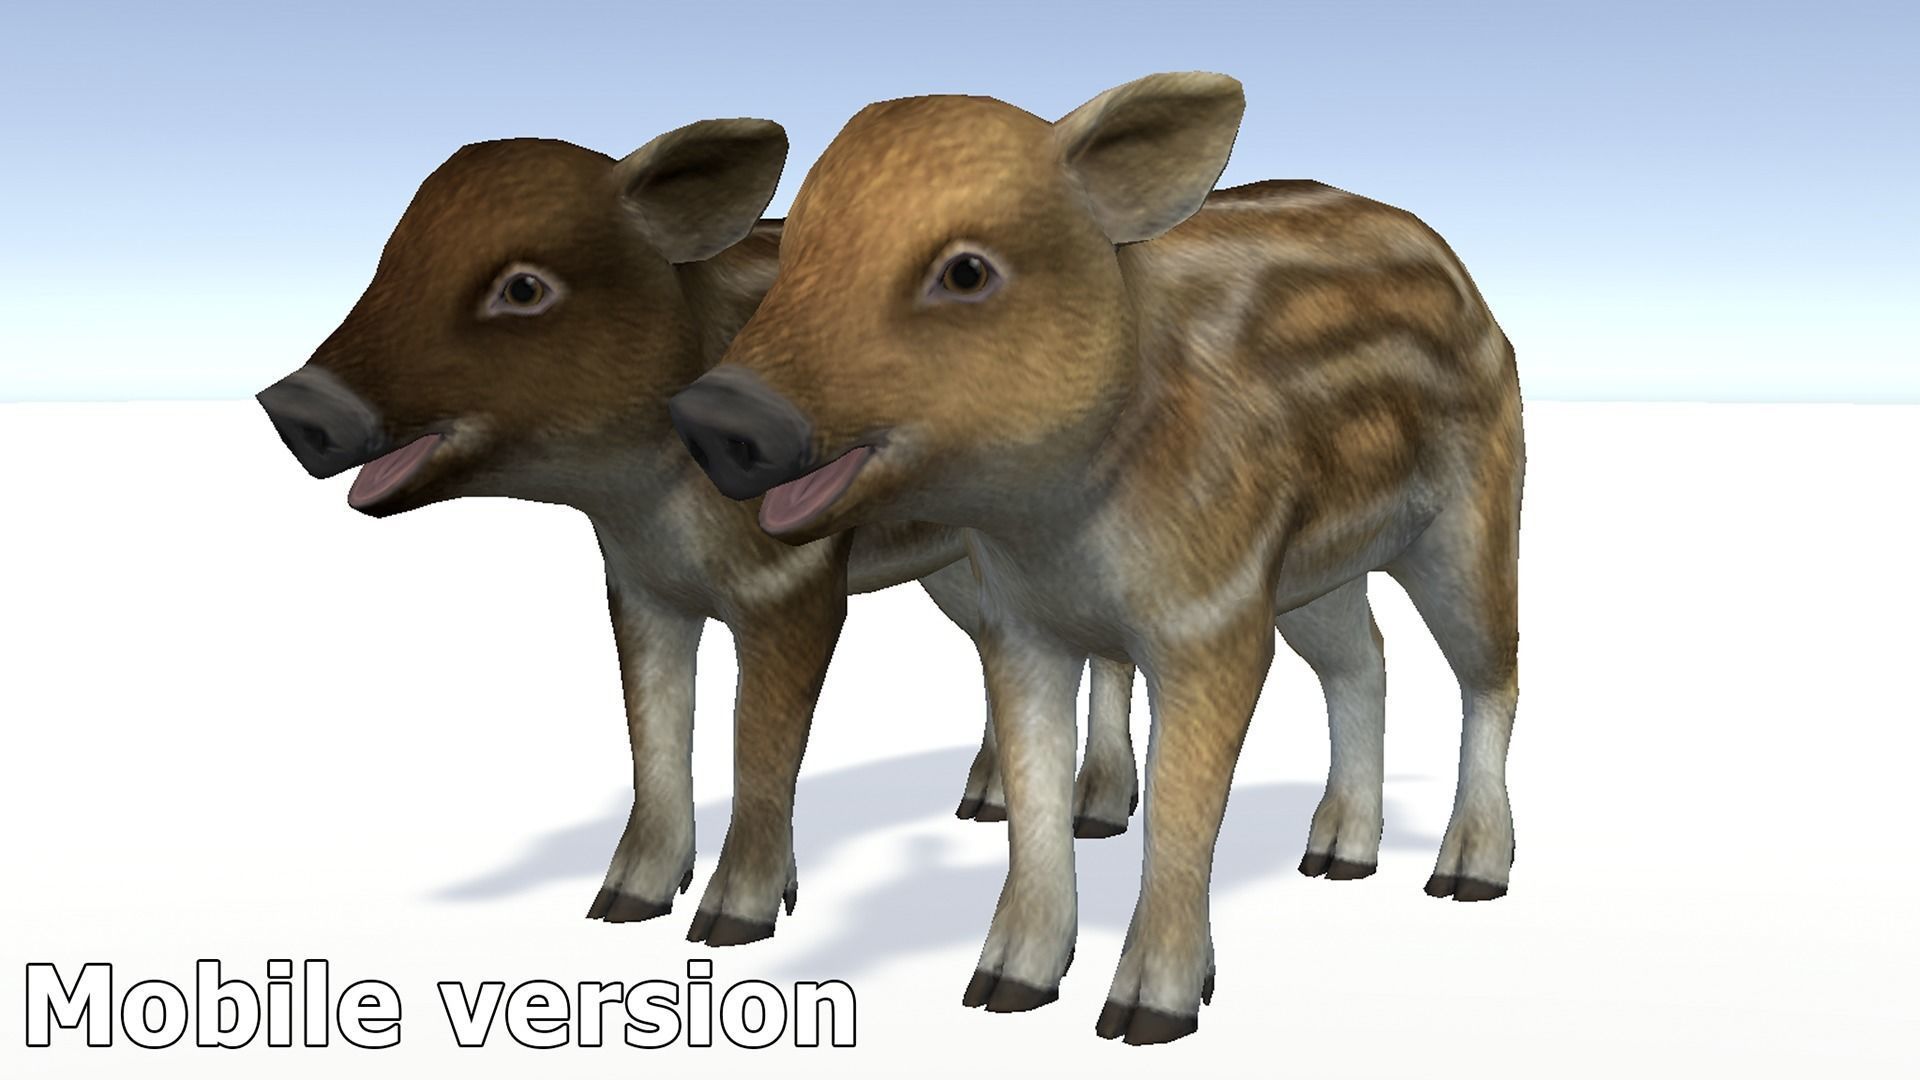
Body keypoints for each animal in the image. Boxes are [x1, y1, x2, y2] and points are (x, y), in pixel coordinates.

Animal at [254, 119, 1144, 946]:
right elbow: (653, 734)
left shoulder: (794, 585)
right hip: (956, 563)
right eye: (392, 260)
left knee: (1108, 651)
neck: (644, 499)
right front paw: (622, 903)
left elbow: (760, 744)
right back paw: (982, 802)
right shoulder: (643, 589)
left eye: (524, 288)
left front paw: (731, 921)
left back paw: (1096, 811)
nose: (293, 405)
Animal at [668, 74, 1524, 1043]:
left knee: (1491, 673)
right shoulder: (1029, 627)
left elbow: (1182, 813)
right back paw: (1336, 854)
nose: (712, 416)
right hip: (1315, 574)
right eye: (801, 247)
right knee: (1363, 660)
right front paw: (1003, 987)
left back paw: (1466, 874)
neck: (1059, 523)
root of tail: (1463, 276)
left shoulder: (1214, 621)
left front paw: (1146, 1014)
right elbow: (1035, 805)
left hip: (1471, 519)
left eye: (967, 271)